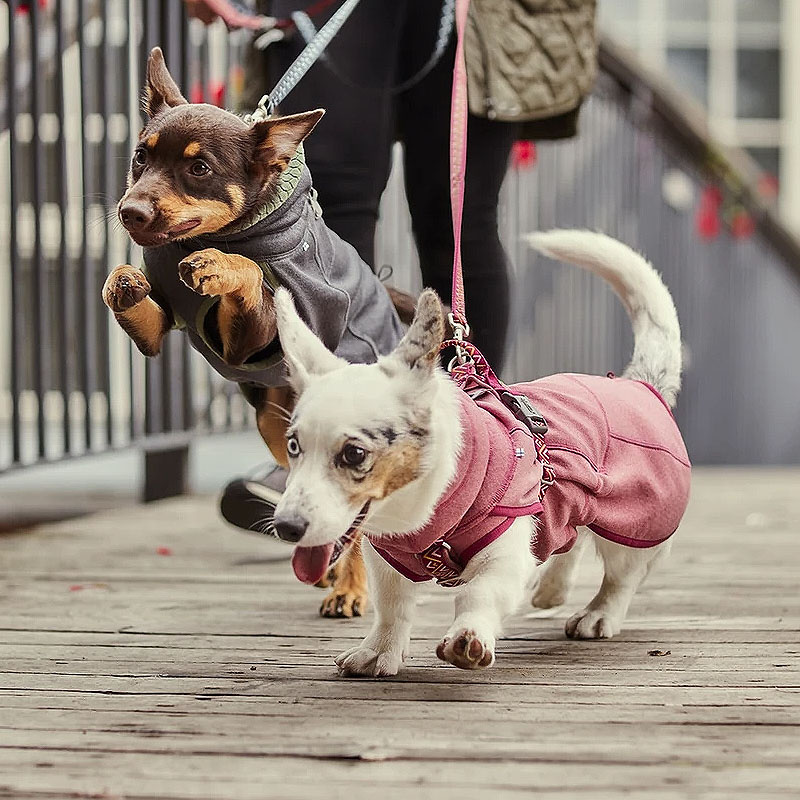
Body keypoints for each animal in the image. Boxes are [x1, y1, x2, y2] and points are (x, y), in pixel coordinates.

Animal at [104, 47, 412, 616]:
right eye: (140, 158)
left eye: (199, 168)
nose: (129, 211)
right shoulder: (161, 329)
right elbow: (131, 294)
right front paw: (125, 280)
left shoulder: (253, 341)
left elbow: (249, 273)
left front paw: (222, 266)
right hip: (275, 420)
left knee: (358, 518)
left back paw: (349, 587)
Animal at [272, 230, 692, 676]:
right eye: (293, 445)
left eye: (354, 454)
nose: (286, 527)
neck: (421, 514)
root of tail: (640, 384)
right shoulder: (387, 559)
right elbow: (392, 607)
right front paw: (378, 652)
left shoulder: (504, 555)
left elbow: (477, 595)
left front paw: (468, 639)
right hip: (575, 507)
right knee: (573, 538)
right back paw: (550, 590)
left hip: (632, 525)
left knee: (620, 577)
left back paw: (597, 615)